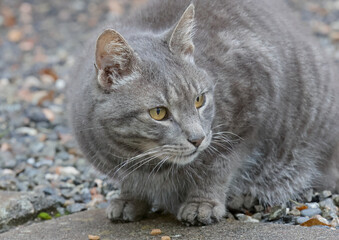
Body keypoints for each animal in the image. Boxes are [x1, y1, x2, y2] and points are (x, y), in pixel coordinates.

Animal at [67, 0, 339, 225]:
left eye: (199, 100)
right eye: (158, 113)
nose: (197, 139)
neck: (148, 163)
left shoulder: (248, 118)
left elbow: (218, 168)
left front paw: (202, 203)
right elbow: (130, 181)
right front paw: (130, 198)